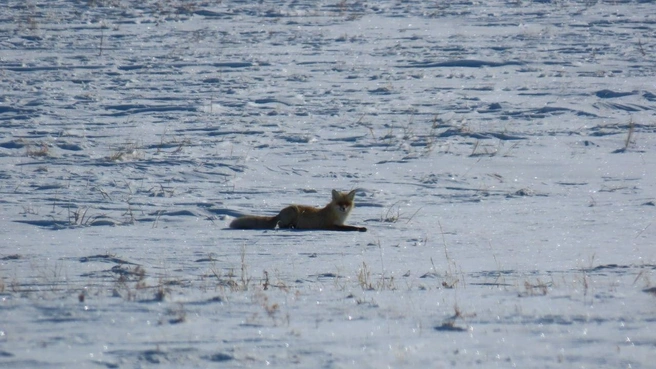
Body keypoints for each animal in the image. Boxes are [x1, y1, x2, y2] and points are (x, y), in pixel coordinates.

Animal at [229, 188, 364, 231]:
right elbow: (351, 228)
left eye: (346, 203)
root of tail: (280, 212)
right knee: (280, 225)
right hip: (293, 211)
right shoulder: (331, 226)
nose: (343, 208)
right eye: (339, 203)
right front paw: (361, 229)